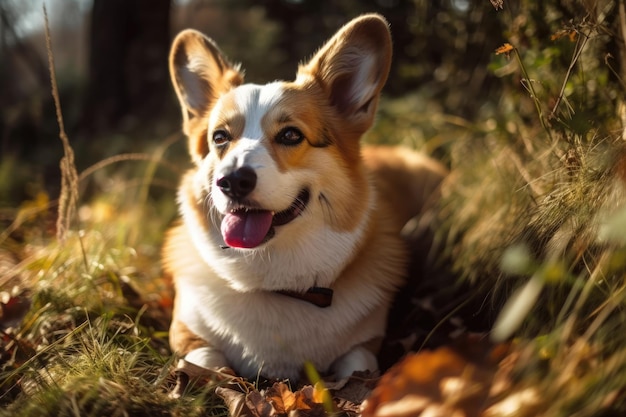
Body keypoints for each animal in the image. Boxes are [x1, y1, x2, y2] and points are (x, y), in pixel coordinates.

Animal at [161, 13, 444, 390]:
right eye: (220, 137)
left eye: (290, 135)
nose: (232, 181)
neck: (275, 282)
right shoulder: (188, 334)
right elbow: (207, 361)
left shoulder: (364, 347)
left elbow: (357, 370)